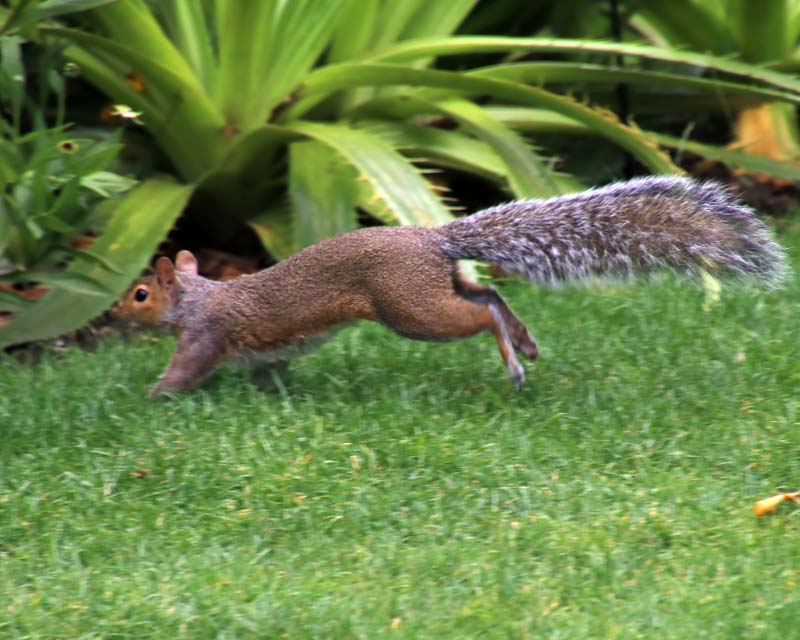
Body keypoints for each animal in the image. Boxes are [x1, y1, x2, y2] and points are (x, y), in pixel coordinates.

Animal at [114, 175, 788, 396]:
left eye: (141, 294)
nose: (112, 316)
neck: (199, 297)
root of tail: (432, 240)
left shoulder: (204, 334)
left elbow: (185, 368)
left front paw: (154, 398)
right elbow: (269, 370)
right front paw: (273, 395)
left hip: (410, 309)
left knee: (479, 313)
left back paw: (512, 360)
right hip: (431, 291)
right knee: (489, 295)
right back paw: (525, 342)